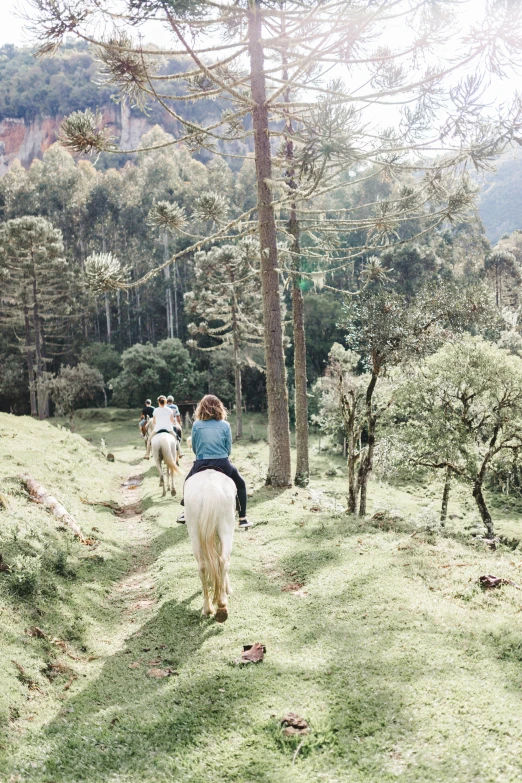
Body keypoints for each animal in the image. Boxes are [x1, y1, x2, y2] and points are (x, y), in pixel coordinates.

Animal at [184, 472, 235, 624]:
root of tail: (209, 488)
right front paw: (227, 587)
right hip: (227, 528)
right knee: (223, 561)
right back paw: (221, 601)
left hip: (195, 533)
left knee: (203, 566)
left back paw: (209, 608)